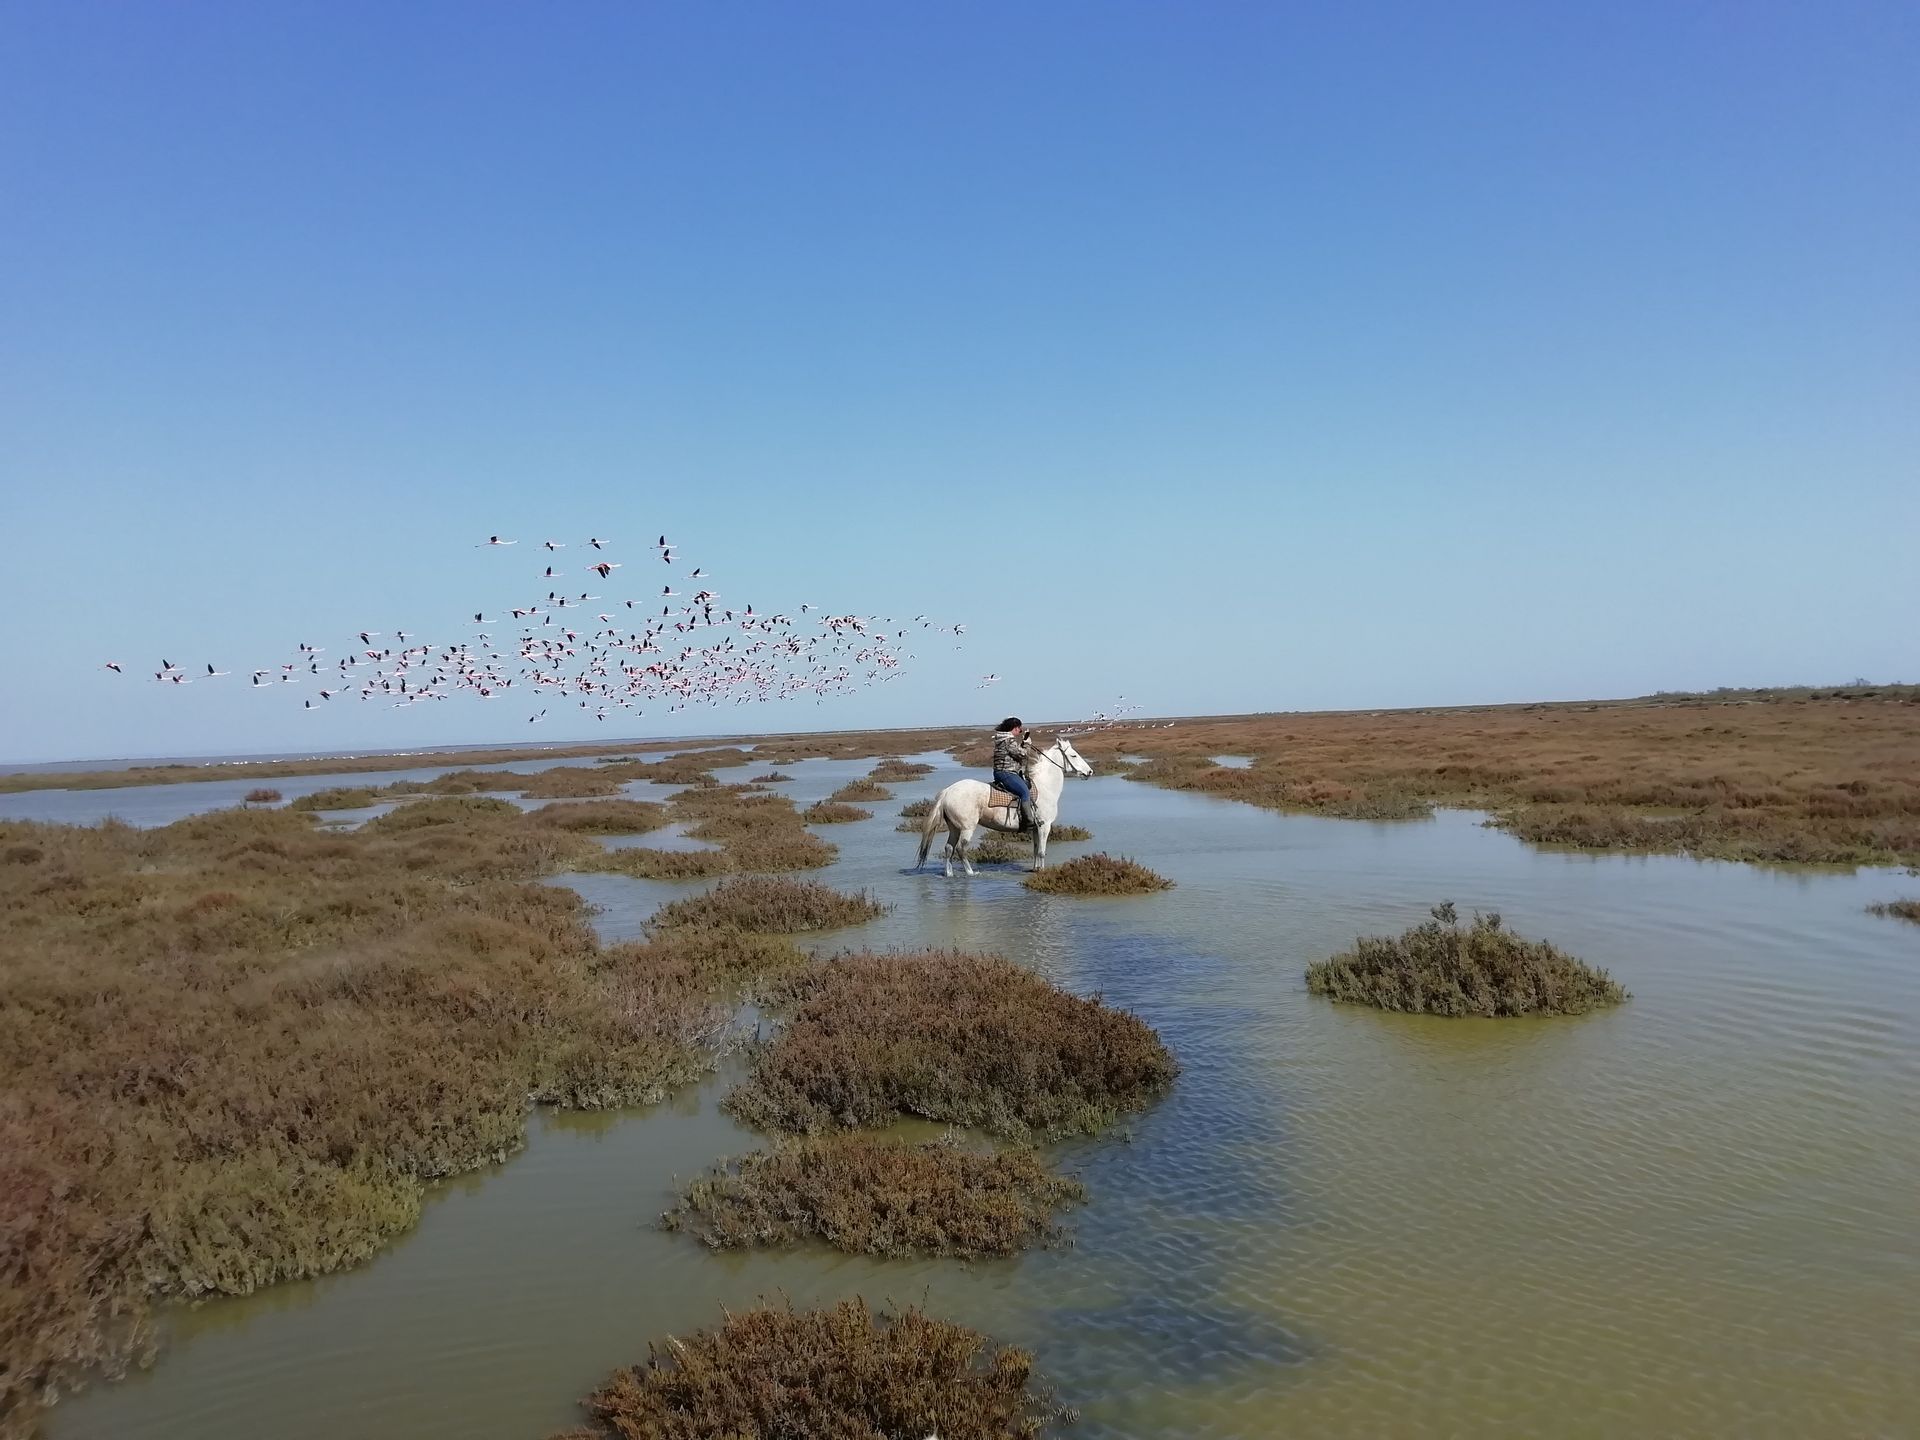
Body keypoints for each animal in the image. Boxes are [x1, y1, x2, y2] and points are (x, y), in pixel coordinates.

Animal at [915, 736, 1094, 876]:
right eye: (1073, 755)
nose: (1090, 772)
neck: (1045, 788)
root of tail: (947, 791)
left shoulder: (1036, 828)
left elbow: (1036, 850)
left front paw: (1035, 869)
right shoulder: (1045, 826)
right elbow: (1042, 852)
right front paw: (1042, 872)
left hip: (954, 828)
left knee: (949, 848)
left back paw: (949, 874)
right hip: (967, 828)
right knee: (961, 849)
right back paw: (971, 872)